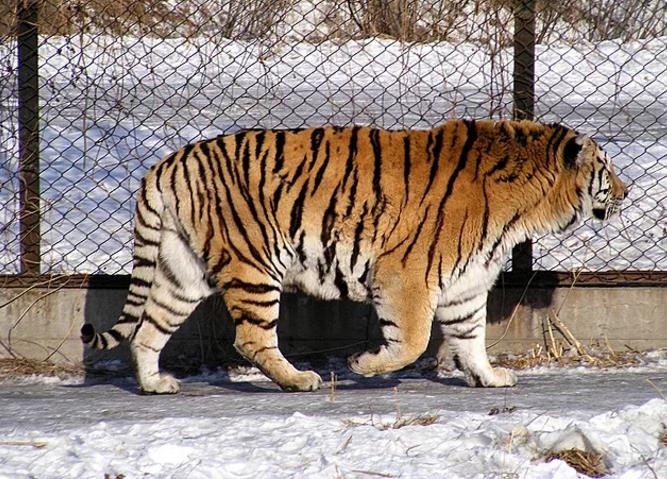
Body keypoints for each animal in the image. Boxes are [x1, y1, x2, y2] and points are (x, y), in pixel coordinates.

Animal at [81, 119, 628, 394]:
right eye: (606, 167)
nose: (627, 191)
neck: (526, 208)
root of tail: (166, 164)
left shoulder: (466, 283)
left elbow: (471, 338)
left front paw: (489, 378)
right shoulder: (407, 274)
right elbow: (412, 340)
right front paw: (362, 365)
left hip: (183, 271)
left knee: (148, 330)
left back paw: (155, 385)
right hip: (255, 264)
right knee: (251, 338)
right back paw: (300, 380)